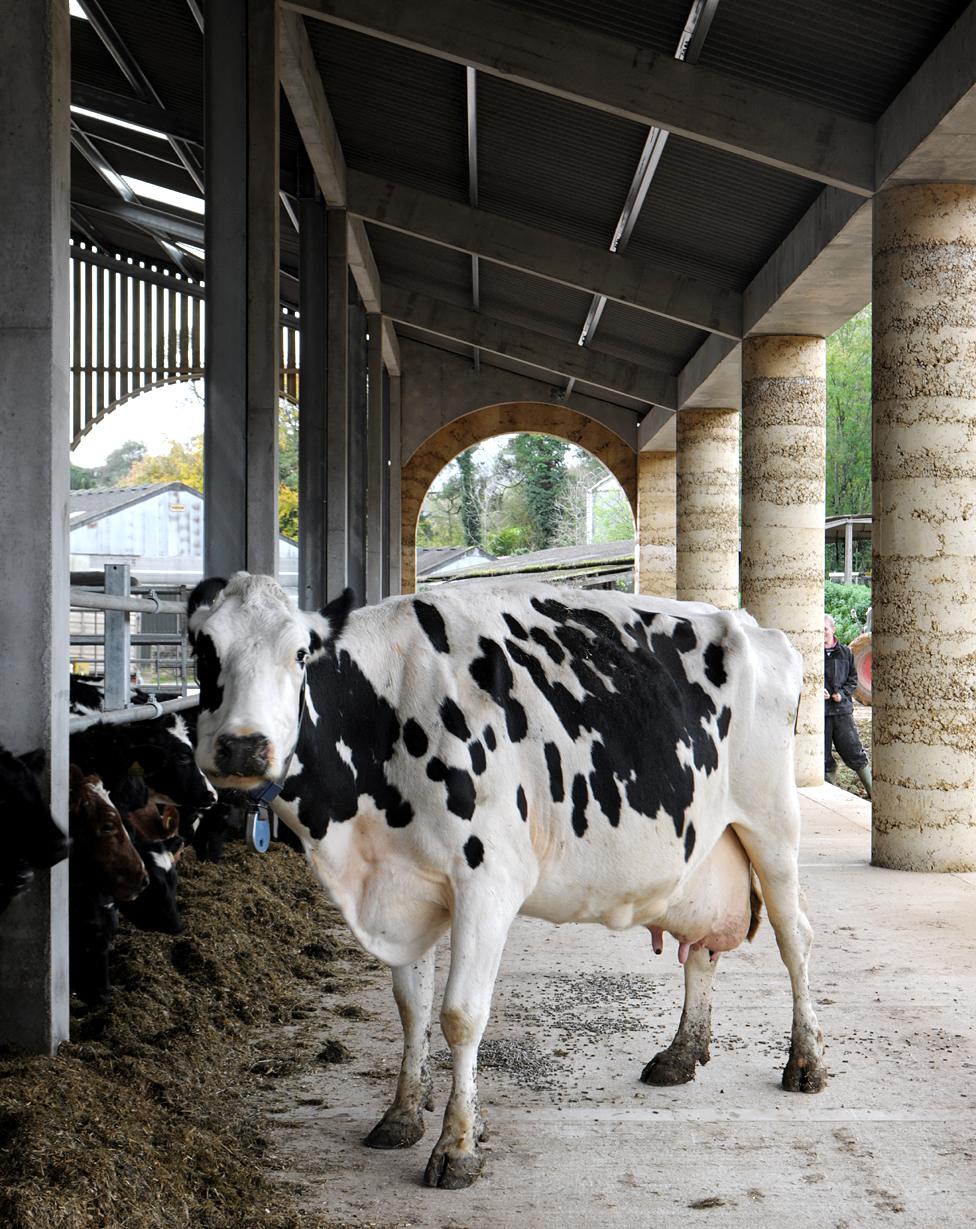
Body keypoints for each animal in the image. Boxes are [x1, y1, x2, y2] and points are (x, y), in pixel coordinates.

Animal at [188, 575, 821, 1189]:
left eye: (299, 653)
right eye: (203, 649)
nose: (243, 746)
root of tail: (754, 626)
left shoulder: (486, 883)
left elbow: (460, 1015)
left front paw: (457, 1146)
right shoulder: (403, 887)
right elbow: (411, 1007)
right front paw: (402, 1115)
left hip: (772, 823)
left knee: (794, 937)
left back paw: (805, 1063)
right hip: (708, 851)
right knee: (704, 951)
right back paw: (681, 1053)